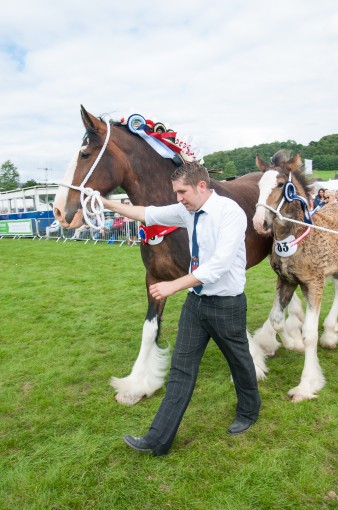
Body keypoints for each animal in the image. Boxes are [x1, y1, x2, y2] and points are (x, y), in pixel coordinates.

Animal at [254, 152, 338, 402]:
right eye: (259, 185)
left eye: (281, 184)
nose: (259, 223)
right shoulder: (286, 281)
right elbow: (276, 320)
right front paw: (294, 344)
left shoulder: (314, 284)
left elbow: (310, 333)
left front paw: (306, 384)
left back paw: (330, 333)